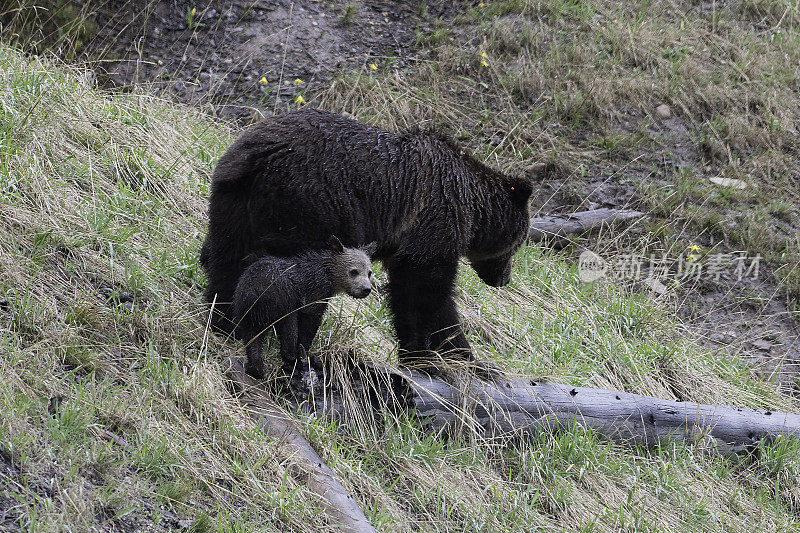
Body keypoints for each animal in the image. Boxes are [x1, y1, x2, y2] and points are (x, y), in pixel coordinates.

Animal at [200, 108, 532, 372]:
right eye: (518, 245)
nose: (503, 279)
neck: (473, 208)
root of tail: (255, 156)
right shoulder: (434, 219)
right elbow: (425, 292)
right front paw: (440, 354)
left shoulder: (406, 242)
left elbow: (414, 293)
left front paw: (442, 354)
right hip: (307, 204)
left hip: (231, 202)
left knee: (224, 259)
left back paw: (224, 321)